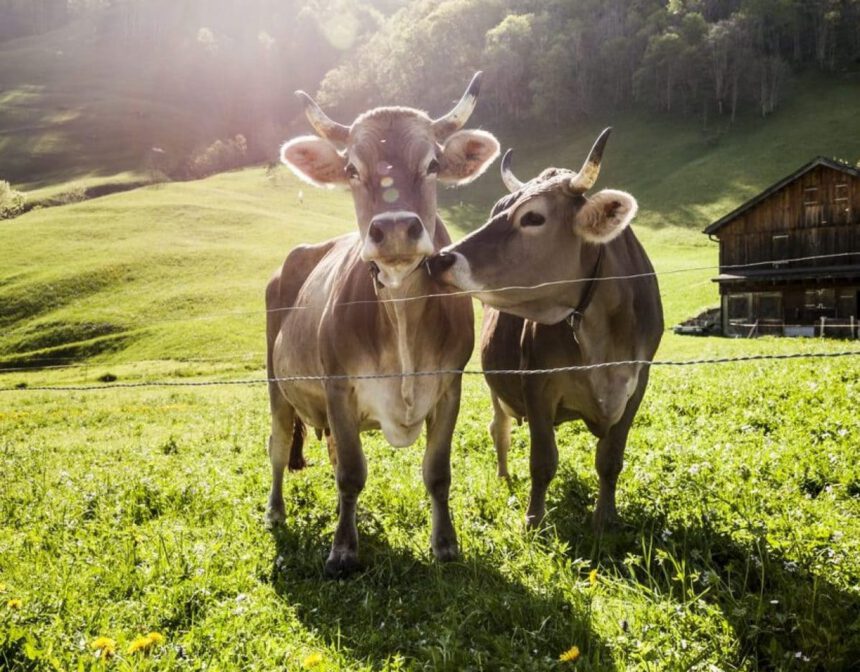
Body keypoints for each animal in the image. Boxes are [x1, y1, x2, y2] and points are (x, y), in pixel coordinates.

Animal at [267, 74, 500, 577]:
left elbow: (437, 472)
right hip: (277, 385)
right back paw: (275, 511)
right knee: (278, 445)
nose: (393, 229)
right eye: (352, 168)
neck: (400, 313)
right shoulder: (338, 386)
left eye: (432, 163)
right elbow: (352, 473)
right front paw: (342, 551)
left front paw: (445, 544)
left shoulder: (449, 387)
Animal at [427, 129, 663, 531]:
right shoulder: (536, 382)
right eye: (498, 209)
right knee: (499, 429)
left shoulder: (637, 384)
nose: (439, 258)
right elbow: (542, 461)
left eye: (533, 217)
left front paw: (606, 517)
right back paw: (504, 478)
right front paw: (533, 520)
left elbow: (610, 459)